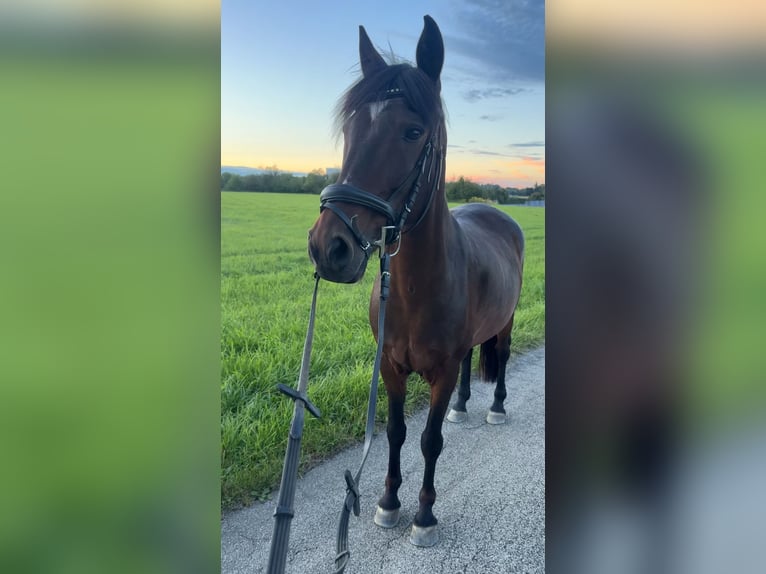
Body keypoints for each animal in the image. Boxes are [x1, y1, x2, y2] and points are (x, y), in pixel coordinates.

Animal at [307, 15, 524, 547]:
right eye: (351, 127)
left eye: (412, 131)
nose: (329, 247)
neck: (412, 291)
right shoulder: (390, 367)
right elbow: (396, 432)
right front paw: (388, 502)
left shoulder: (439, 372)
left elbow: (429, 440)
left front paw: (424, 514)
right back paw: (464, 405)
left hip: (507, 321)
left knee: (502, 355)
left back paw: (495, 407)